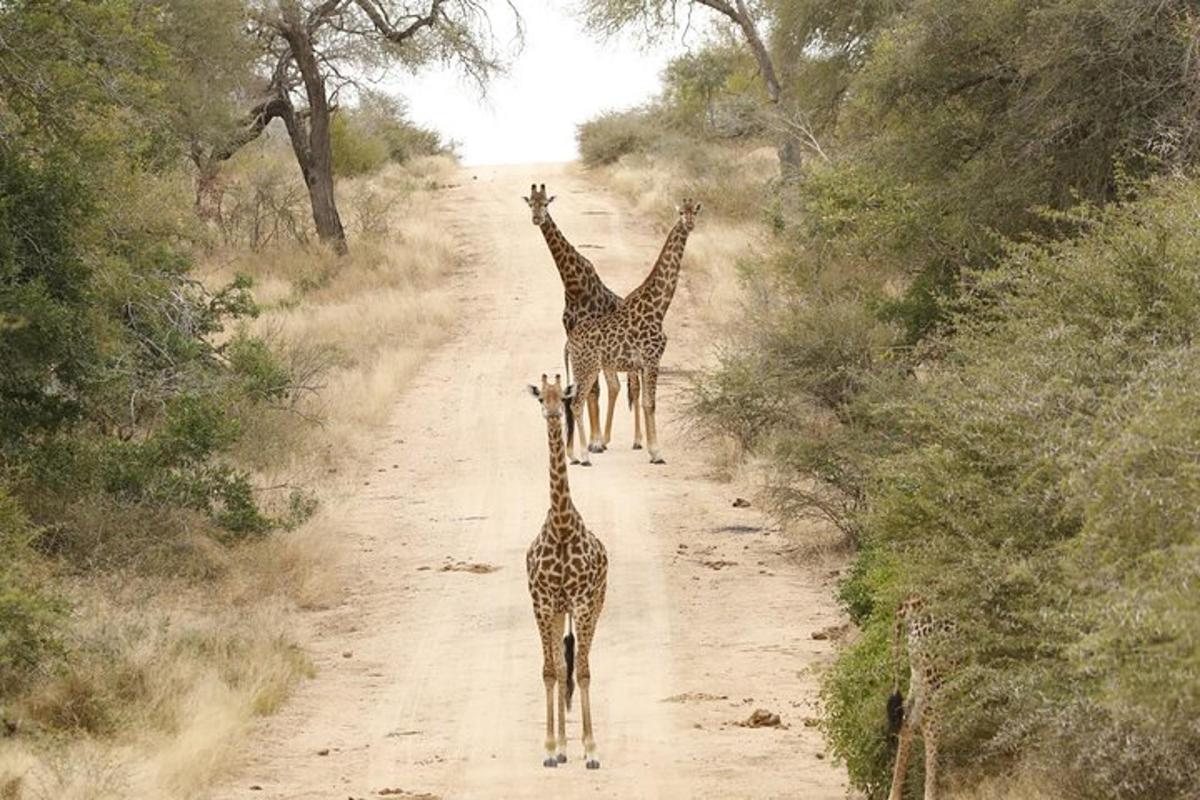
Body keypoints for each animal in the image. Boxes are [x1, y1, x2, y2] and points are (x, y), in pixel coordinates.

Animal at [523, 183, 643, 453]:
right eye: (531, 204)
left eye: (546, 203)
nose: (537, 218)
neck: (573, 286)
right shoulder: (573, 335)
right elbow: (588, 389)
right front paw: (591, 440)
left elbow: (593, 389)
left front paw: (595, 440)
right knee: (616, 386)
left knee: (634, 386)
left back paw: (638, 440)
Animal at [564, 196, 700, 465]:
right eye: (681, 212)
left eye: (695, 212)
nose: (689, 224)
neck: (659, 306)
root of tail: (568, 342)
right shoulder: (652, 358)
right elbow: (650, 403)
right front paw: (656, 453)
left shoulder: (643, 363)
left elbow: (645, 402)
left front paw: (650, 449)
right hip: (588, 367)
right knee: (576, 403)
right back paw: (585, 454)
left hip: (581, 368)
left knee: (576, 402)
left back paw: (574, 454)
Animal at [888, 594, 950, 800]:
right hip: (935, 674)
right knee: (930, 723)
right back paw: (930, 793)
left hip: (918, 671)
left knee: (907, 720)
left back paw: (894, 794)